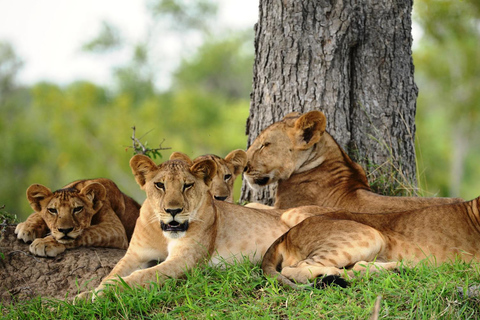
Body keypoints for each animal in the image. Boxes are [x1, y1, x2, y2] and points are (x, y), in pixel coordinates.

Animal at [77, 155, 290, 300]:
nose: (173, 210)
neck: (163, 233)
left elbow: (144, 275)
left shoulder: (186, 259)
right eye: (160, 185)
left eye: (187, 185)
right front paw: (85, 296)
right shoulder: (136, 255)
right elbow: (112, 274)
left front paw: (106, 293)